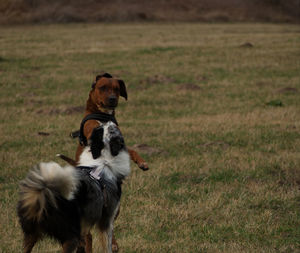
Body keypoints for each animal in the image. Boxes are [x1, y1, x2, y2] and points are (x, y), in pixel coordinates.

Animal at [17, 121, 130, 252]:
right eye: (113, 129)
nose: (109, 121)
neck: (102, 161)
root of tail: (46, 192)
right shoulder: (106, 221)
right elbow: (107, 247)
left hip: (31, 234)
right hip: (70, 237)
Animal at [74, 72, 148, 251]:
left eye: (116, 89)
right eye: (103, 88)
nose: (113, 98)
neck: (103, 115)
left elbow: (132, 150)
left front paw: (141, 162)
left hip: (114, 207)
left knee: (107, 226)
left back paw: (113, 244)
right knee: (89, 235)